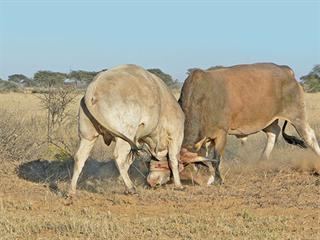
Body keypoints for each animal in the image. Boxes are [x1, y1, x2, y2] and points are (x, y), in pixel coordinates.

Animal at [179, 62, 320, 185]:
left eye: (195, 165)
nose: (203, 181)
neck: (201, 99)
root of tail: (286, 70)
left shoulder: (221, 134)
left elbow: (216, 159)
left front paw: (218, 179)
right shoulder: (206, 138)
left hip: (297, 117)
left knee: (309, 136)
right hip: (268, 120)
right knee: (274, 132)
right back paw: (262, 161)